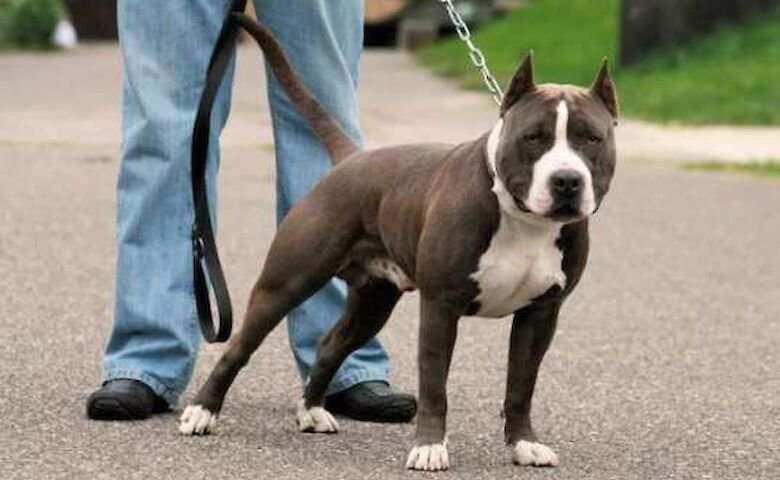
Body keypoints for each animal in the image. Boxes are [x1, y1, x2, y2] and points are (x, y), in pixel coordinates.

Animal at [179, 13, 618, 472]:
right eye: (534, 137)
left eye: (592, 138)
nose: (566, 180)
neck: (523, 219)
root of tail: (352, 158)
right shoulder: (441, 306)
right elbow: (435, 385)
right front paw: (429, 447)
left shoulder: (541, 314)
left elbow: (521, 385)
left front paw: (524, 443)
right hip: (286, 283)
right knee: (239, 347)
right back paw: (202, 412)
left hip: (373, 301)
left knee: (332, 345)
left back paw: (312, 410)